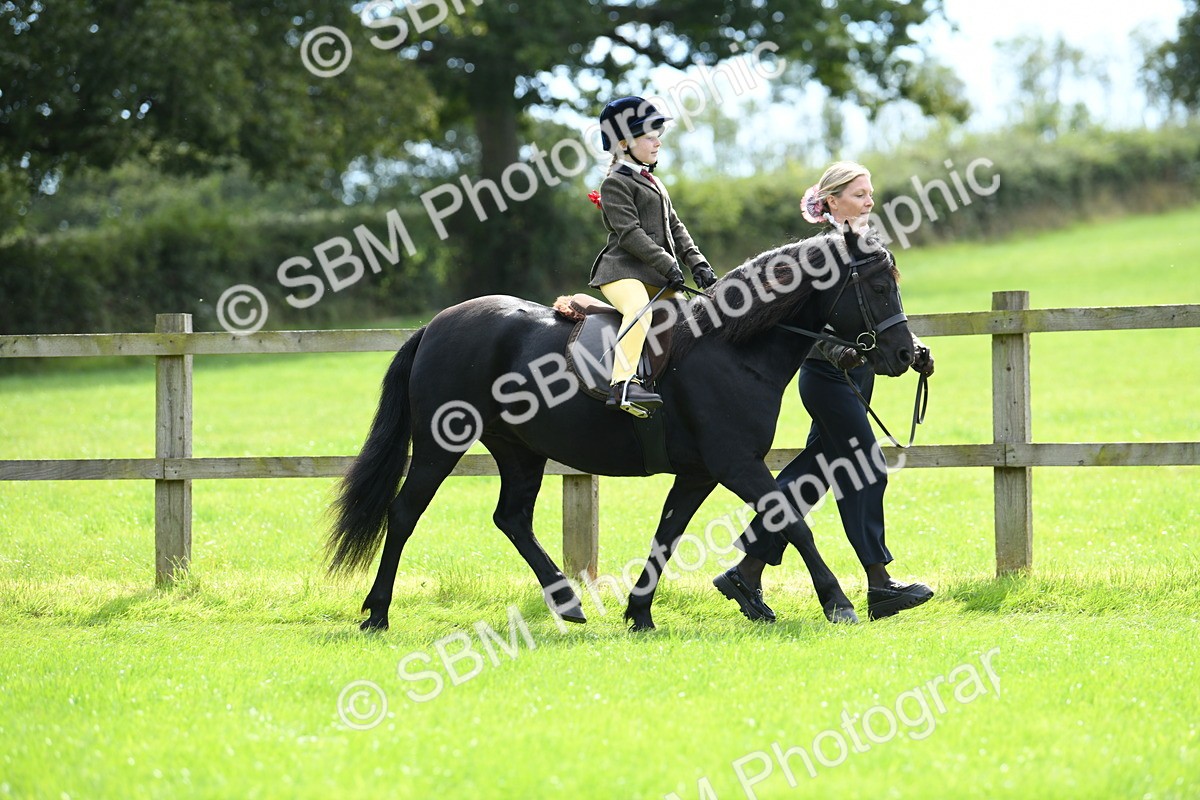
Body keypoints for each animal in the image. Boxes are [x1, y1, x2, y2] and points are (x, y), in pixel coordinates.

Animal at [325, 226, 914, 631]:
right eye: (880, 286)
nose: (906, 355)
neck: (731, 347)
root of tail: (436, 325)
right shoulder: (736, 464)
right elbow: (793, 521)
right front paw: (838, 603)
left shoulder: (699, 473)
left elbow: (667, 536)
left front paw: (640, 613)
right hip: (437, 448)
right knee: (404, 513)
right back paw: (377, 613)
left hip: (520, 450)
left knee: (511, 518)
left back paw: (567, 602)